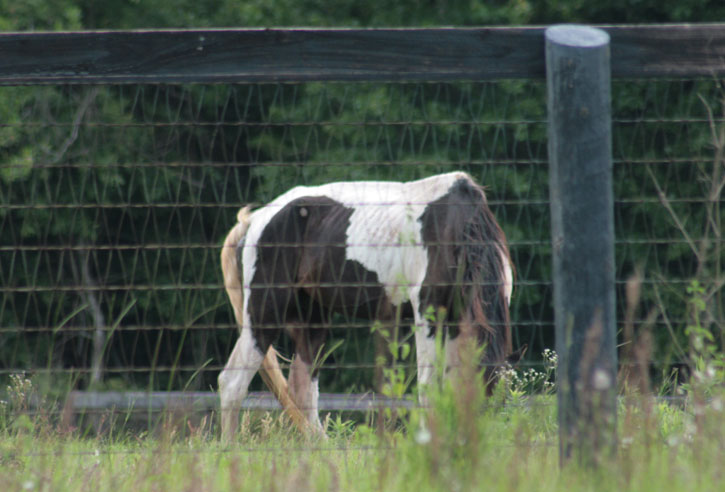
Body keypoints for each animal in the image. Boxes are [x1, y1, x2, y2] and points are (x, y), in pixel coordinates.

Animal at [219, 171, 514, 440]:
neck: (457, 230)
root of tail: (256, 220)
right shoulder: (427, 316)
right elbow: (429, 389)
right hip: (265, 312)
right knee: (233, 383)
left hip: (313, 317)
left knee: (302, 388)